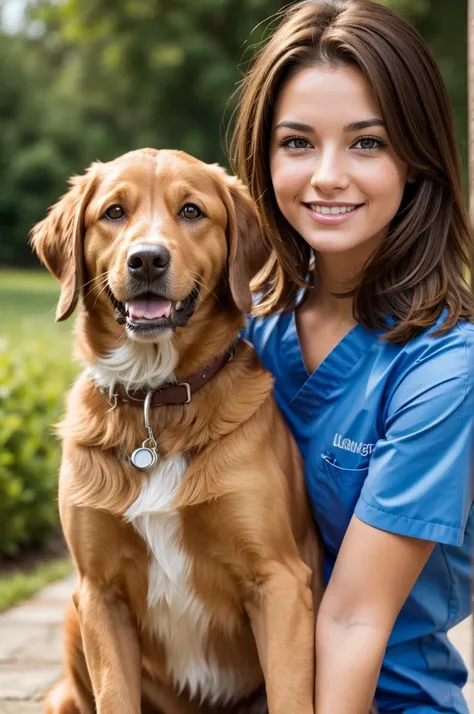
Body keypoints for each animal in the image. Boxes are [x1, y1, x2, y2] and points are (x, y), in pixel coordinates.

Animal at [30, 146, 322, 712]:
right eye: (114, 212)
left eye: (191, 211)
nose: (147, 259)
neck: (154, 401)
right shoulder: (98, 591)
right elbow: (115, 697)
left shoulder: (279, 580)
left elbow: (293, 696)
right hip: (73, 616)